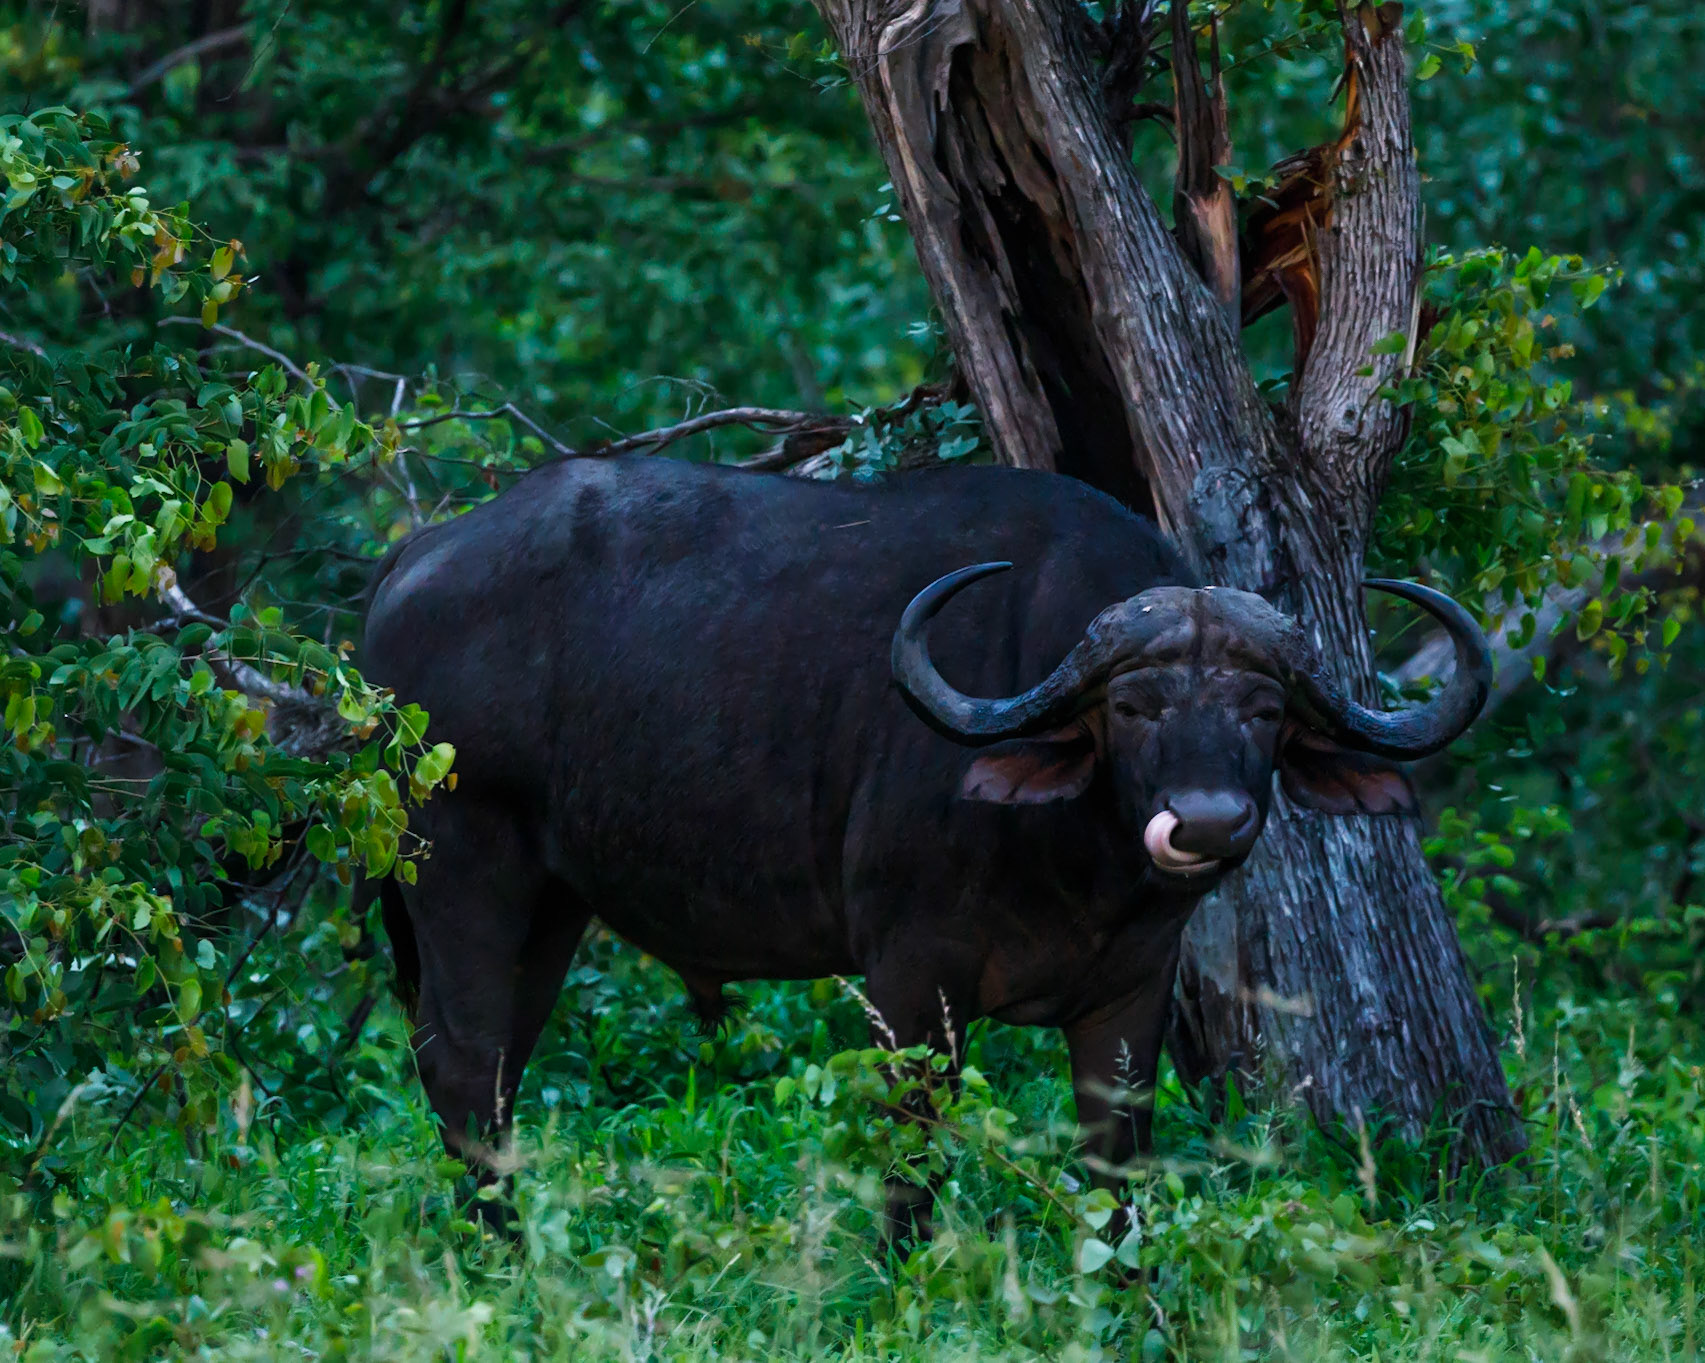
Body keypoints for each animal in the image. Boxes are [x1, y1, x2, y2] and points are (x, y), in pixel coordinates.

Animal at [361, 455, 1488, 1238]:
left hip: (553, 900)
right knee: (459, 1060)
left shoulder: (1131, 992)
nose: (1205, 822)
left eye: (1263, 711)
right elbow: (912, 1142)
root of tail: (414, 559)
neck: (1076, 868)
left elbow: (1116, 1159)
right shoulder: (909, 976)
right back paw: (502, 1247)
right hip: (461, 866)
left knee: (498, 1067)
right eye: (1132, 707)